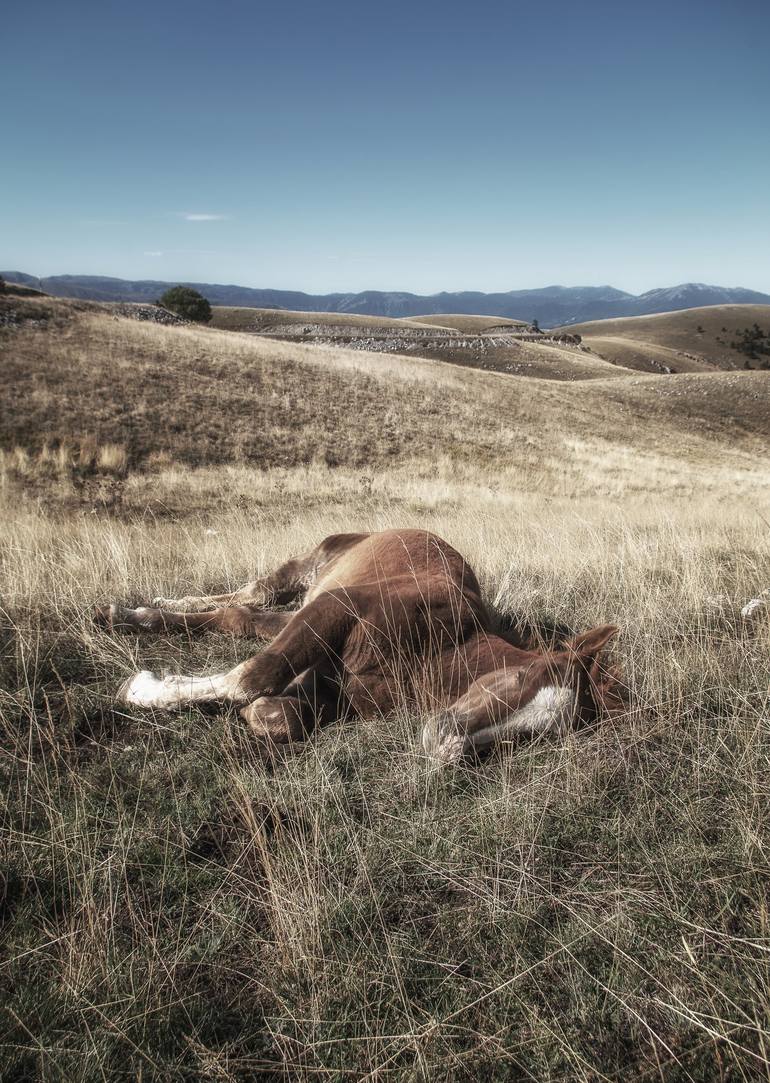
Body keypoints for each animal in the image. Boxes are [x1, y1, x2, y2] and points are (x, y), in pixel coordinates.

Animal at [96, 528, 623, 766]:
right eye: (521, 677)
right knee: (252, 596)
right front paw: (142, 688)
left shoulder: (335, 690)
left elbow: (283, 714)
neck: (441, 649)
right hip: (309, 572)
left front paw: (259, 713)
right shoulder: (336, 609)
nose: (444, 748)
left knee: (242, 614)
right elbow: (254, 676)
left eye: (534, 737)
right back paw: (133, 614)